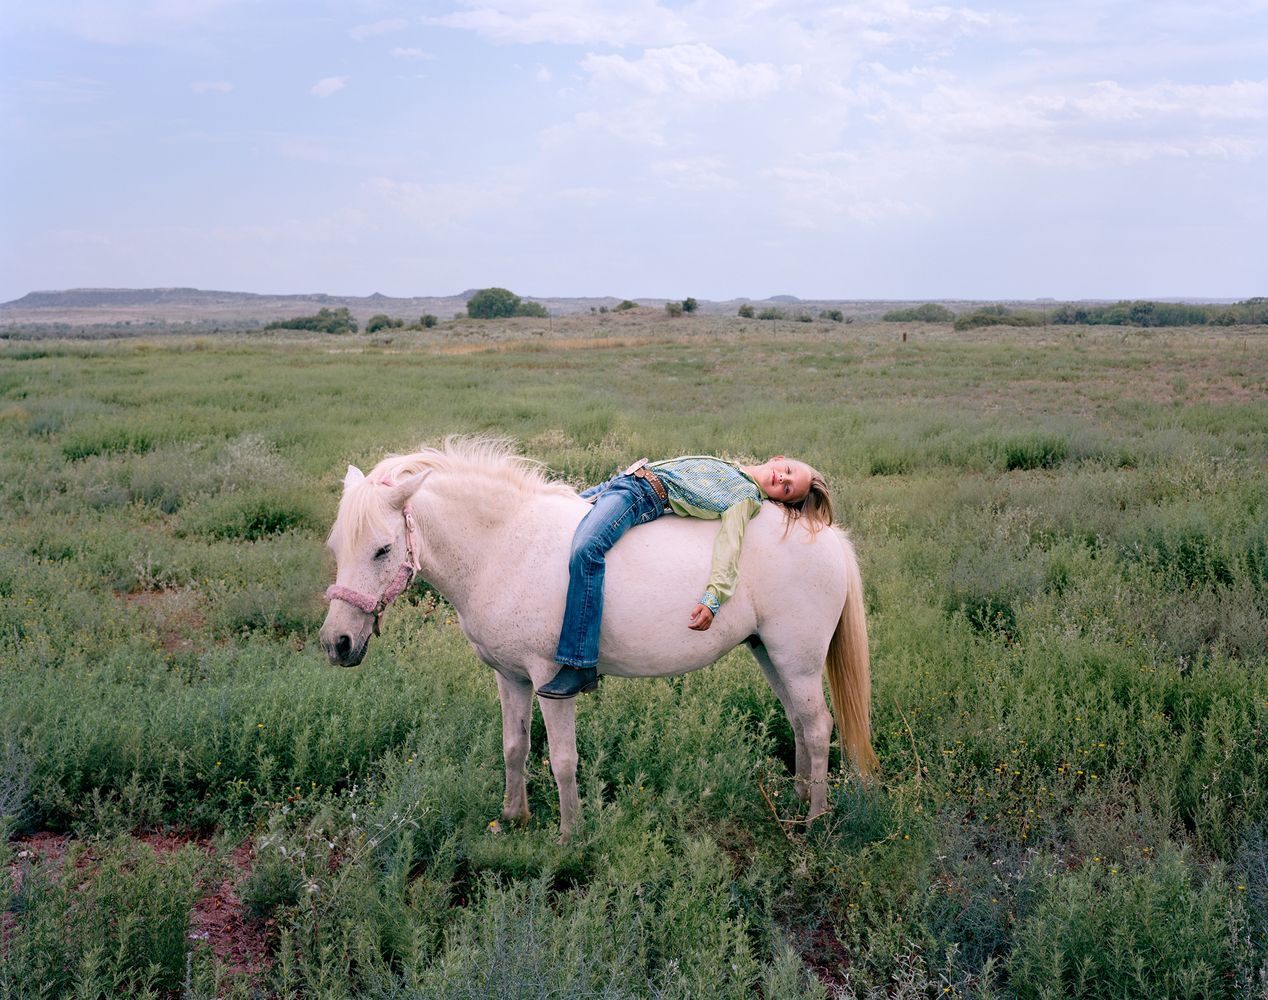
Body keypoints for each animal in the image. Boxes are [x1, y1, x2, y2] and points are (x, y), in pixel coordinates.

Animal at [322, 435, 877, 836]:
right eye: (335, 545)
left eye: (382, 549)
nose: (336, 644)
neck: (504, 545)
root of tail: (827, 534)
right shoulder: (510, 677)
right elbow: (514, 746)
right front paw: (514, 817)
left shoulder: (550, 680)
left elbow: (563, 760)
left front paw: (570, 836)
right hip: (770, 654)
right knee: (799, 722)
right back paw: (798, 799)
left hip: (797, 659)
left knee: (817, 725)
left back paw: (815, 820)